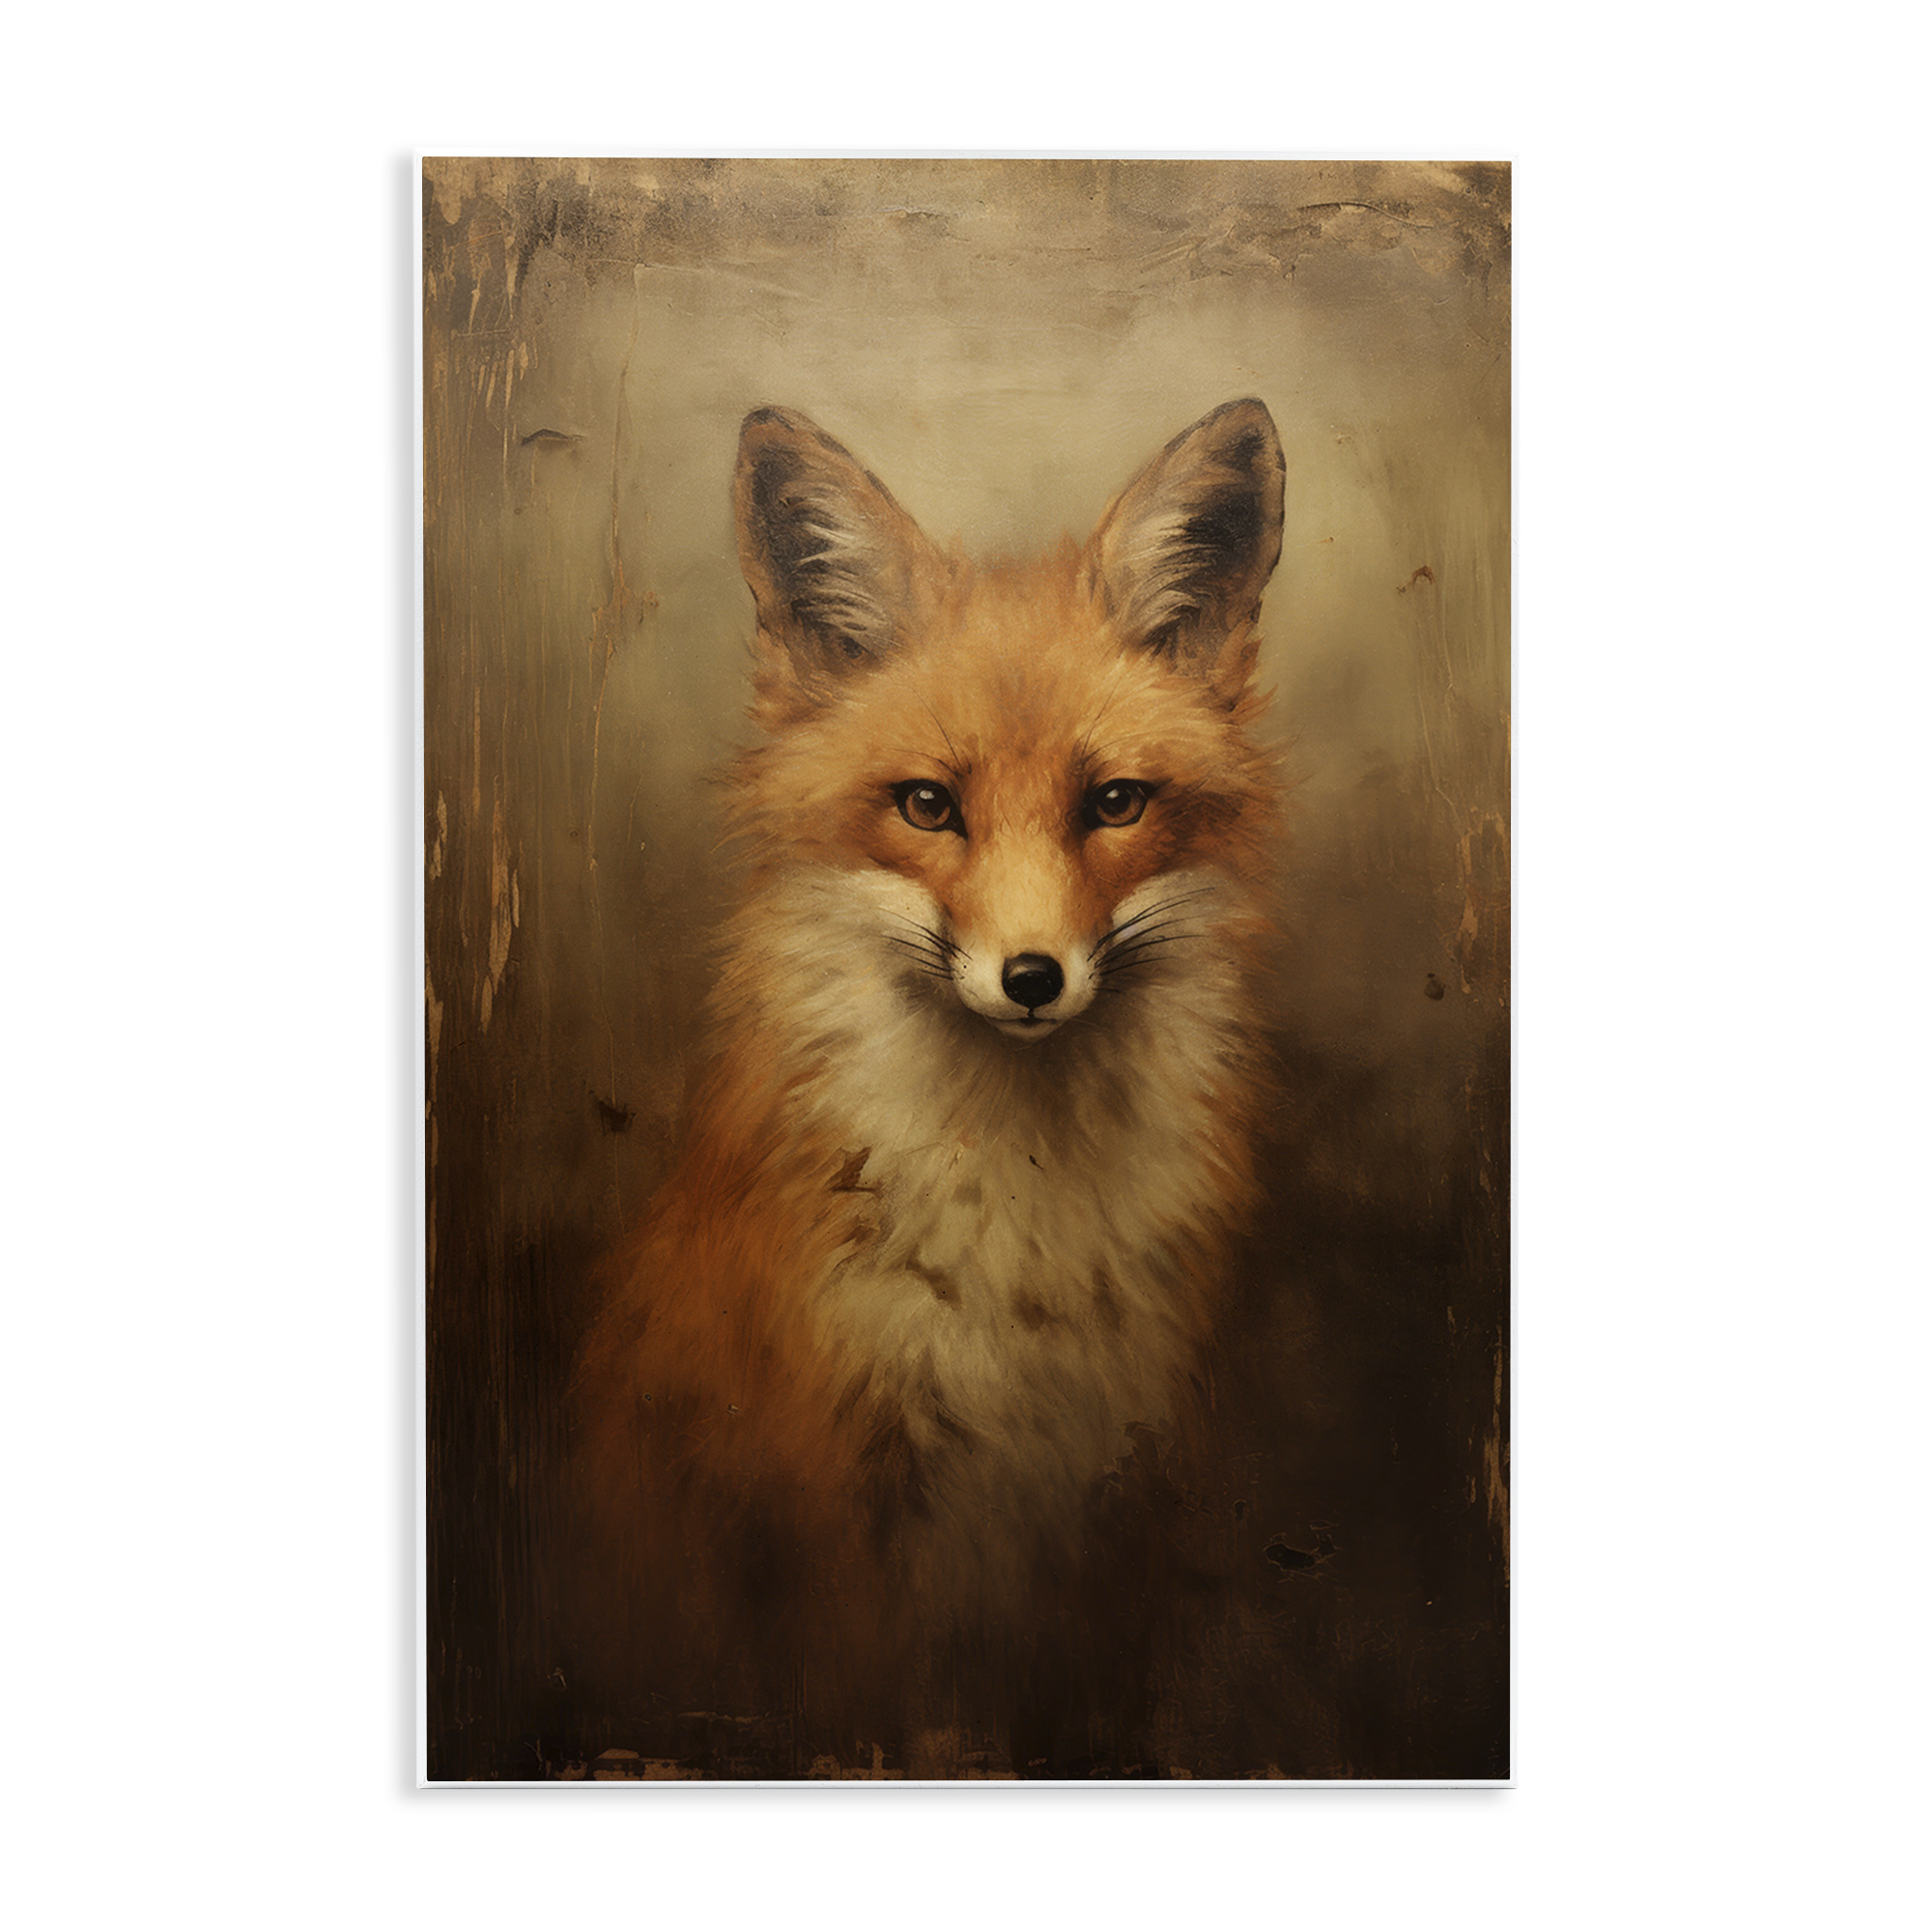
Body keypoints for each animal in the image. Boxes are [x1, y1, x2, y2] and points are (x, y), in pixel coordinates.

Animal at [572, 397, 1288, 1763]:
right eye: (925, 805)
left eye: (1113, 801)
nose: (1030, 976)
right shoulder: (835, 1492)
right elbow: (882, 1722)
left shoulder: (1121, 1481)